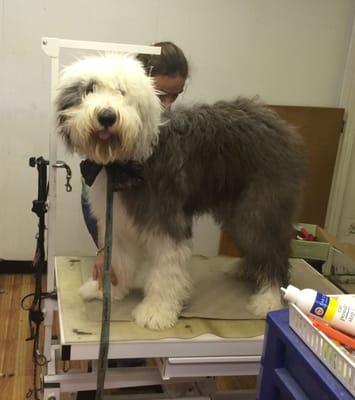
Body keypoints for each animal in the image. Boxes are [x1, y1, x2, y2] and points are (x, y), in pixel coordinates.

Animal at [55, 54, 306, 330]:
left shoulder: (166, 220)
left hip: (260, 206)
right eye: (89, 89)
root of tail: (276, 121)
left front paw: (156, 311)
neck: (127, 161)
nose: (107, 116)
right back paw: (246, 270)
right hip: (237, 208)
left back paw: (268, 298)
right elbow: (118, 259)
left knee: (273, 249)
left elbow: (167, 269)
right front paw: (107, 291)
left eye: (122, 92)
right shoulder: (118, 220)